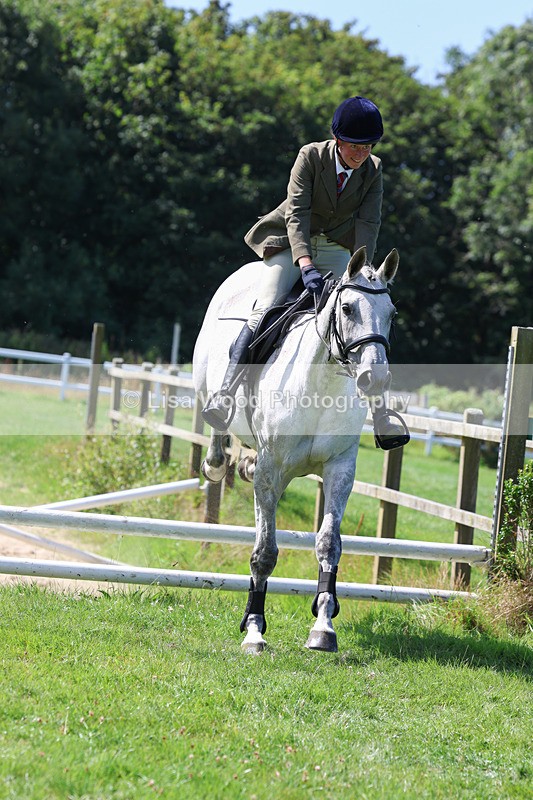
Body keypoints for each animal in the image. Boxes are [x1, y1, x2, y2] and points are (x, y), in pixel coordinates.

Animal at [192, 245, 400, 654]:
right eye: (347, 308)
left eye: (392, 313)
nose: (376, 378)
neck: (321, 387)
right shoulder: (273, 472)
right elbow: (265, 553)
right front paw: (254, 630)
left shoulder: (340, 469)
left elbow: (329, 544)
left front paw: (323, 627)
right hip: (207, 382)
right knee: (217, 426)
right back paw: (216, 459)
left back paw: (245, 464)